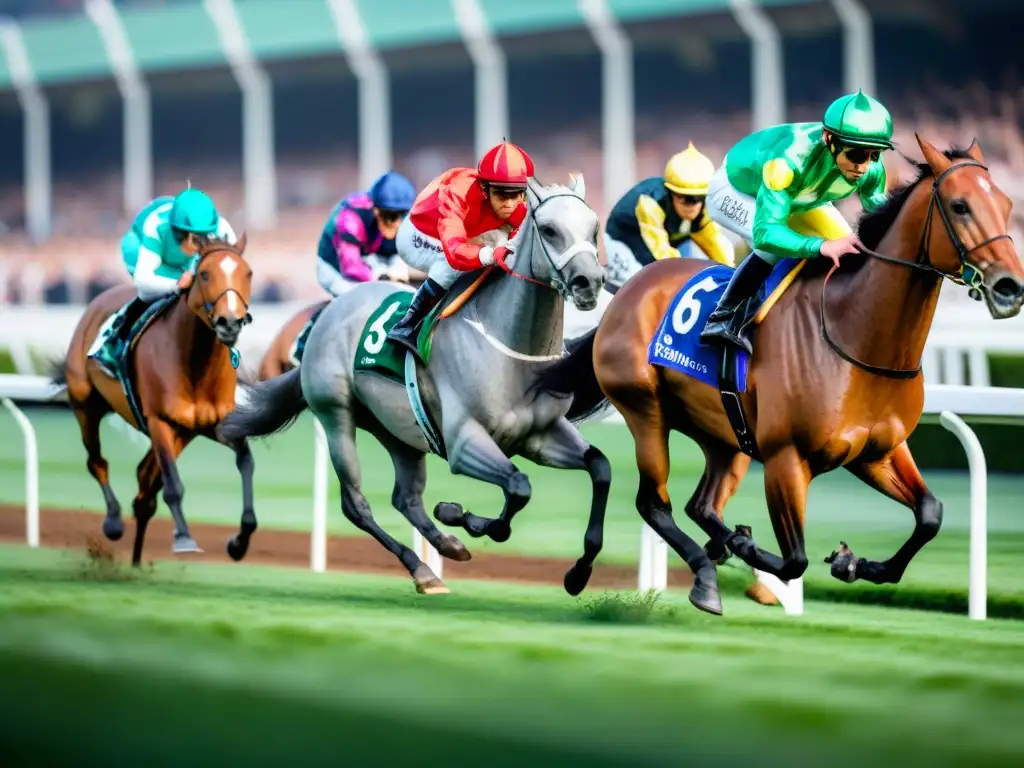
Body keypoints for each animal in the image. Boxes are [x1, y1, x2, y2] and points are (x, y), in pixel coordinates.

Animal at [55, 237, 260, 569]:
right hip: (86, 404)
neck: (195, 364)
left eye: (248, 273)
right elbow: (174, 487)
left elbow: (246, 462)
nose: (229, 322)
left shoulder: (216, 424)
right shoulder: (158, 421)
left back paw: (137, 560)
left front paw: (239, 542)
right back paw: (113, 522)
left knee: (145, 484)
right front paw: (184, 538)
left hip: (183, 433)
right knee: (97, 461)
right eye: (204, 274)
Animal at [219, 179, 610, 593]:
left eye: (594, 228)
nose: (589, 283)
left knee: (406, 498)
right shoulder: (464, 444)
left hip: (398, 429)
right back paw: (420, 566)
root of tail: (329, 313)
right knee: (355, 504)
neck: (511, 352)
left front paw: (578, 572)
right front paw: (460, 515)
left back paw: (446, 548)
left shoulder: (540, 434)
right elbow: (519, 487)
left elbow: (598, 467)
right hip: (336, 413)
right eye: (549, 230)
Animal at [536, 135, 1024, 618]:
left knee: (700, 505)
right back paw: (693, 573)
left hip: (726, 435)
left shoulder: (879, 451)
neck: (852, 334)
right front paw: (757, 552)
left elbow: (930, 514)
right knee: (655, 503)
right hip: (645, 409)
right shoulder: (786, 458)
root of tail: (627, 293)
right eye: (960, 206)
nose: (1009, 287)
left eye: (1004, 203)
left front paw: (853, 563)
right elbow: (796, 559)